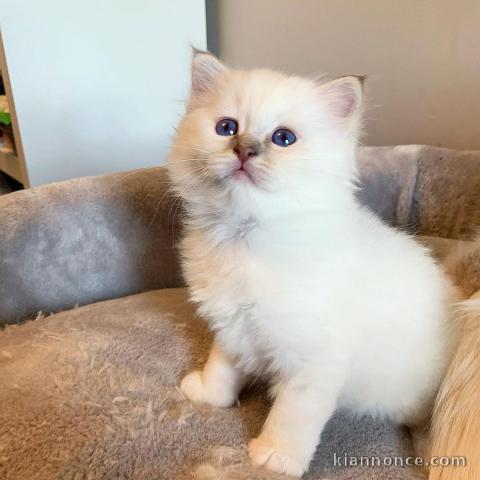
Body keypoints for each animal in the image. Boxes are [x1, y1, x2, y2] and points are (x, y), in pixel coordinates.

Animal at [167, 50, 456, 478]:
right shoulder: (233, 323)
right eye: (226, 128)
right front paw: (209, 396)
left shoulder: (313, 360)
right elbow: (222, 364)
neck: (246, 233)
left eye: (283, 138)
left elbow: (292, 414)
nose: (244, 149)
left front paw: (274, 459)